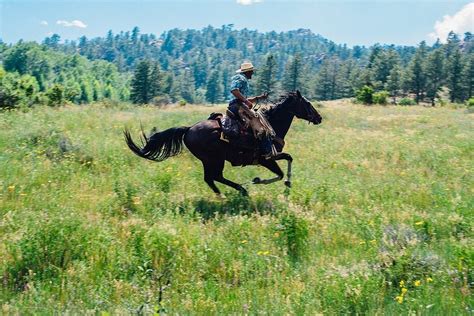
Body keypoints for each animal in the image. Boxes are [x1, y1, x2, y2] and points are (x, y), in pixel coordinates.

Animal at [123, 90, 322, 196]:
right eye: (307, 103)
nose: (319, 118)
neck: (272, 123)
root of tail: (188, 129)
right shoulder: (267, 158)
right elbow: (283, 167)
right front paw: (262, 181)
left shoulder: (268, 158)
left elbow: (287, 161)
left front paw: (284, 182)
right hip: (213, 159)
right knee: (214, 177)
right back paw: (237, 191)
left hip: (210, 160)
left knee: (211, 178)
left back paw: (229, 193)